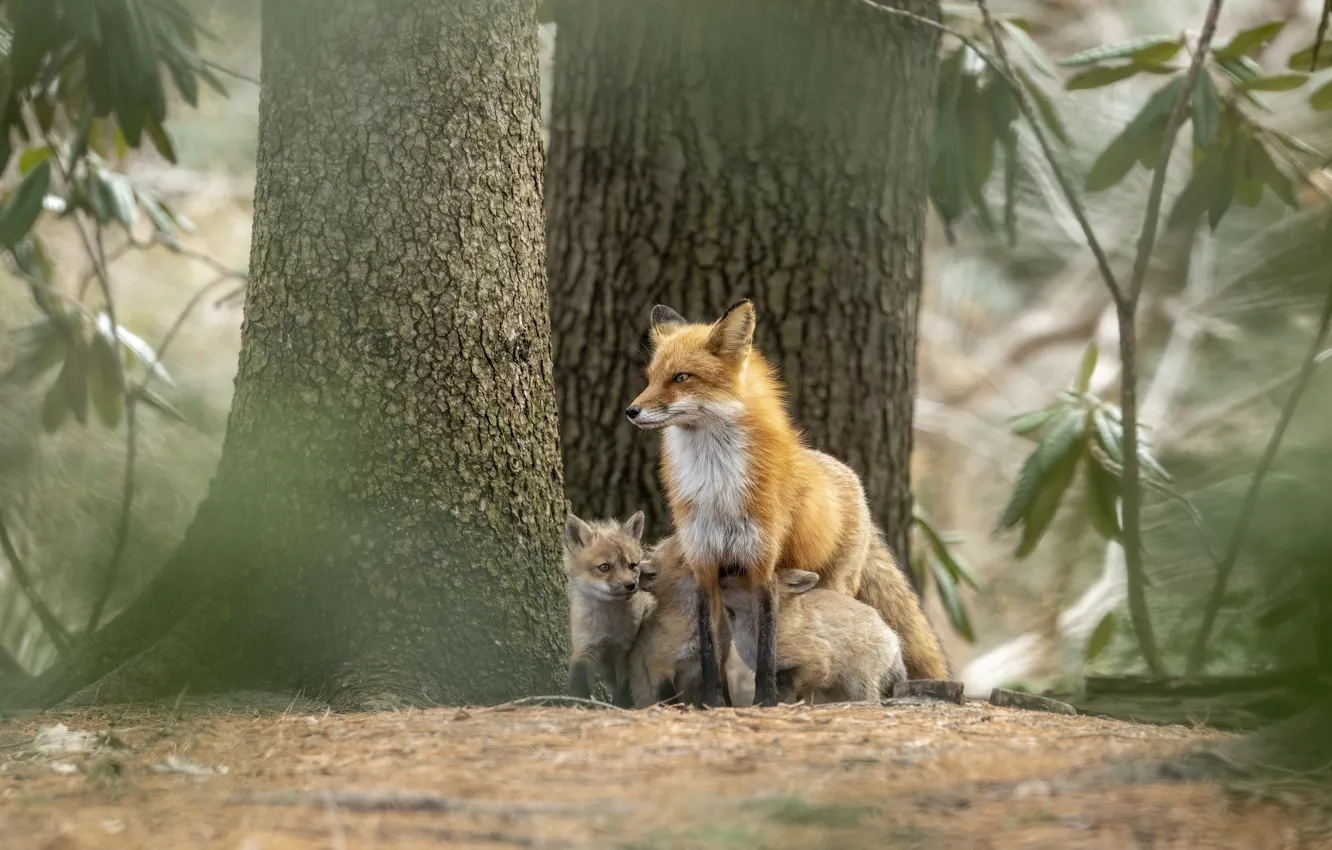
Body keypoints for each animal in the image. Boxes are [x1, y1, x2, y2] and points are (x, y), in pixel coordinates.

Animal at [563, 511, 654, 708]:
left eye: (632, 565)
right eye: (604, 567)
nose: (631, 585)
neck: (608, 625)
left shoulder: (624, 650)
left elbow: (624, 689)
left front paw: (620, 706)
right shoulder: (585, 646)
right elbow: (579, 682)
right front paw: (580, 705)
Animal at [721, 568, 908, 704]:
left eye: (743, 574)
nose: (720, 575)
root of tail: (893, 636)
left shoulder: (815, 663)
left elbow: (784, 689)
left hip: (858, 683)